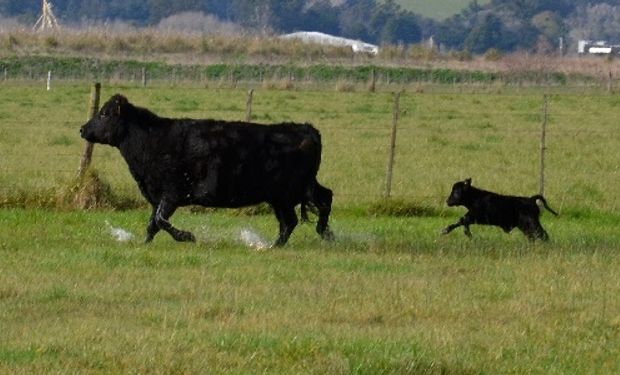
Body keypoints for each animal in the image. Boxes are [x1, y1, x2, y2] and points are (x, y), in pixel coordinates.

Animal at [82, 94, 336, 247]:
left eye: (104, 114)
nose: (82, 129)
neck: (151, 139)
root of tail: (306, 129)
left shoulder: (171, 195)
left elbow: (161, 221)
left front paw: (187, 237)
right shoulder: (157, 197)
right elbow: (152, 224)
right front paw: (144, 243)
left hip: (287, 193)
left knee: (298, 217)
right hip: (293, 192)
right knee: (316, 204)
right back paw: (321, 235)